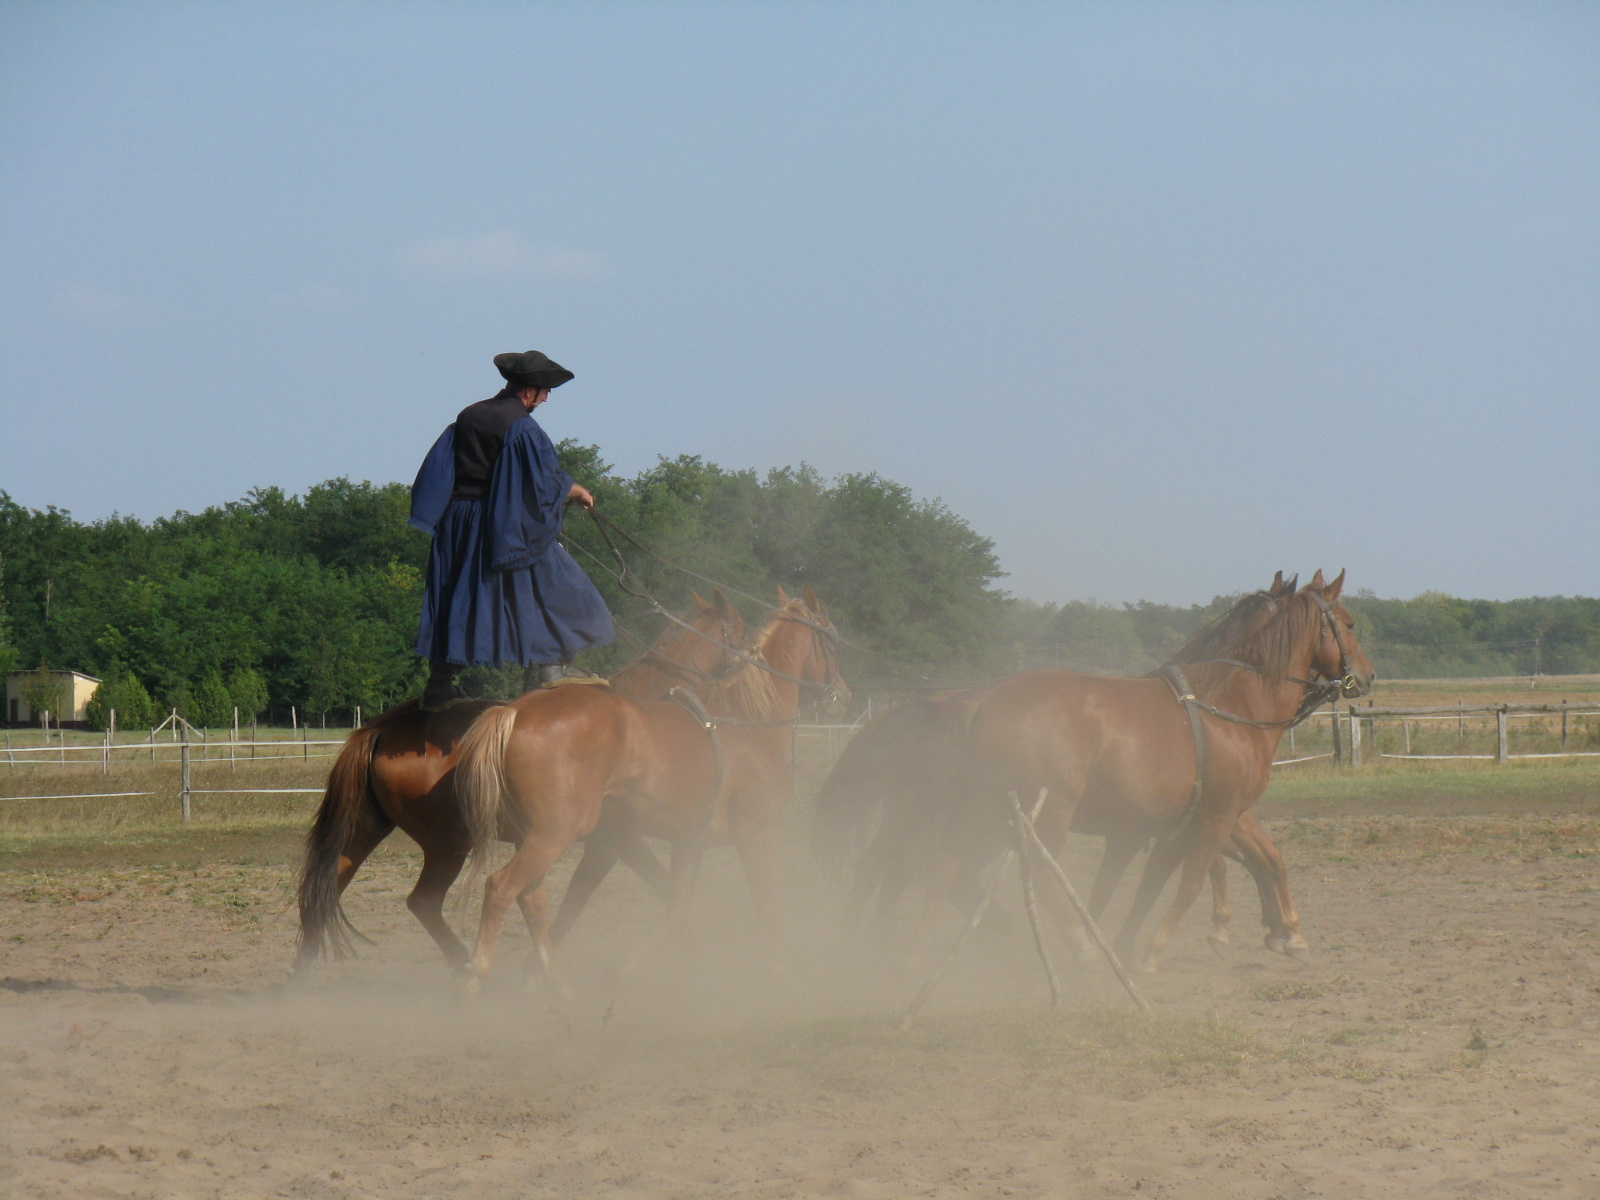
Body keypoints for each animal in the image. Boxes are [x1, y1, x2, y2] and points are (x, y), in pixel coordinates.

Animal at [294, 588, 742, 966]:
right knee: (422, 901)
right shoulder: (614, 841)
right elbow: (651, 888)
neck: (636, 717)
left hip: (368, 828)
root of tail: (383, 727)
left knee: (324, 890)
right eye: (736, 632)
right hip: (448, 845)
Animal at [454, 588, 844, 992]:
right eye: (831, 641)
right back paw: (478, 975)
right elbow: (764, 904)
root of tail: (514, 712)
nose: (843, 694)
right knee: (501, 888)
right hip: (554, 835)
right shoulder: (756, 834)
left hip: (538, 837)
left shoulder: (687, 841)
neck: (747, 721)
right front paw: (780, 973)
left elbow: (677, 908)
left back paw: (556, 984)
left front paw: (634, 969)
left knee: (531, 897)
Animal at [819, 569, 1369, 966]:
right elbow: (1203, 876)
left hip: (981, 815)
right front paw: (1160, 946)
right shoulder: (1217, 816)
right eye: (1347, 623)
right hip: (1042, 812)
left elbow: (1156, 882)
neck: (1225, 706)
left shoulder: (1166, 827)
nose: (1365, 676)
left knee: (934, 867)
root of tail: (978, 703)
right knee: (1014, 872)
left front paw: (1280, 931)